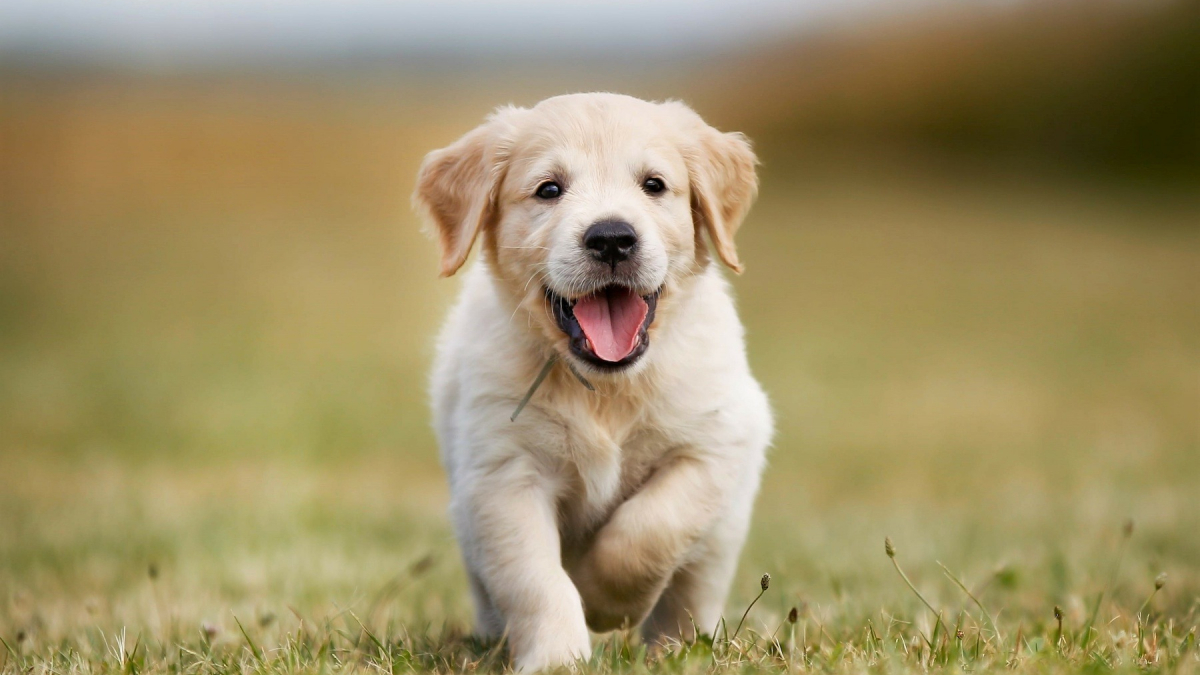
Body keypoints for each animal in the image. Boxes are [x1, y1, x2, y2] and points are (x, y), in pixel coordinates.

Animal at [412, 91, 768, 667]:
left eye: (654, 185)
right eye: (549, 189)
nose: (612, 238)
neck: (607, 389)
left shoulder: (715, 445)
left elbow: (650, 528)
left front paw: (605, 601)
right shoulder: (502, 477)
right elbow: (537, 580)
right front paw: (558, 658)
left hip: (722, 534)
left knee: (692, 589)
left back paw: (678, 648)